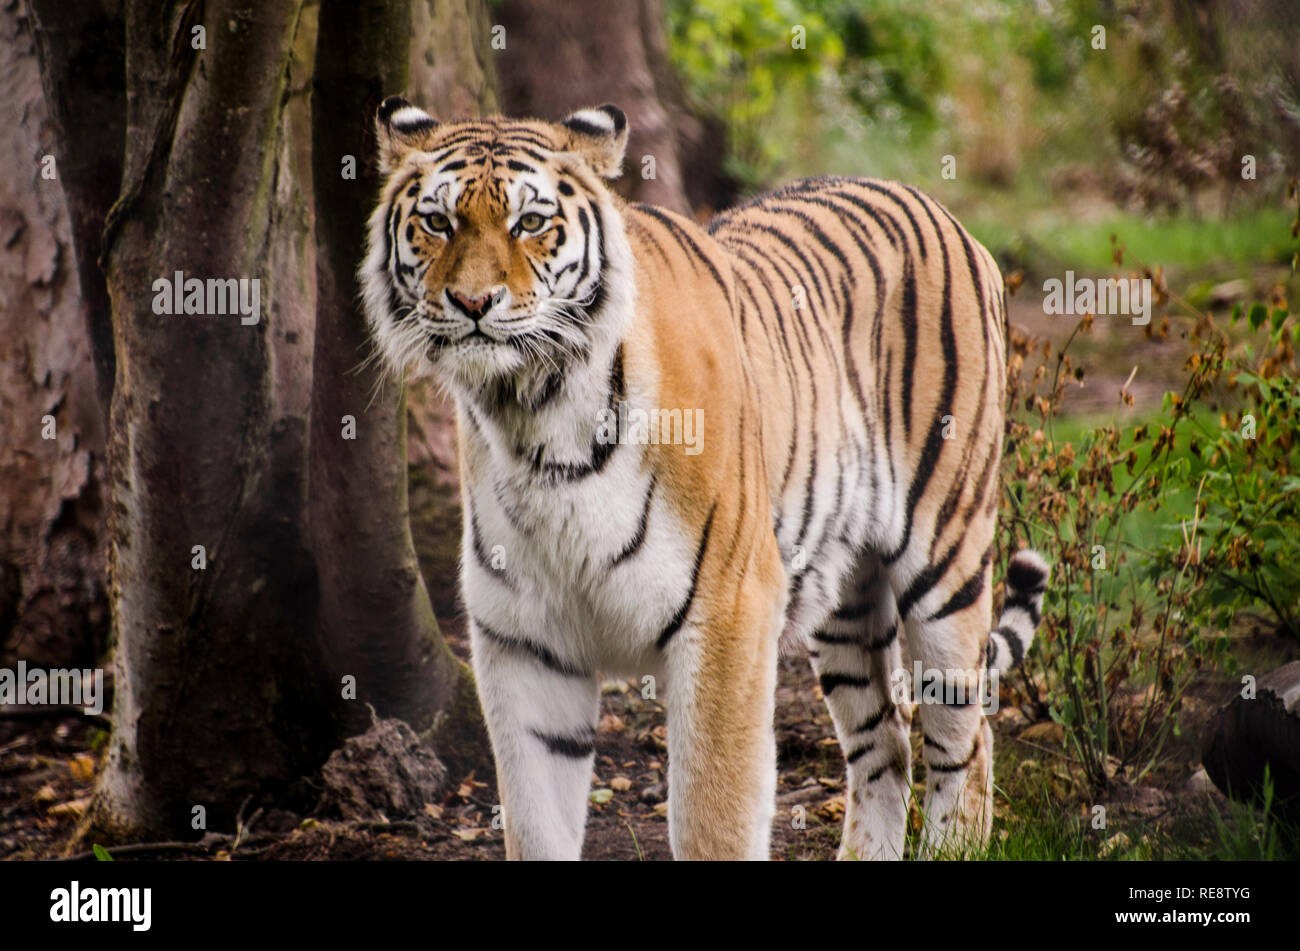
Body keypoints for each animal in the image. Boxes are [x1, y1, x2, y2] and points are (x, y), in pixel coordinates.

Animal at [361, 95, 1050, 861]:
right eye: (437, 222)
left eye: (530, 223)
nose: (473, 302)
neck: (534, 416)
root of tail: (940, 209)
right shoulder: (523, 642)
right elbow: (536, 823)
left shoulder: (728, 612)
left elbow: (713, 817)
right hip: (844, 601)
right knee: (886, 743)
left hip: (945, 563)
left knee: (966, 741)